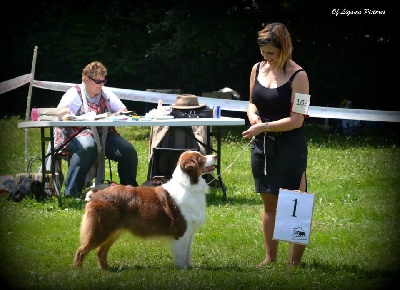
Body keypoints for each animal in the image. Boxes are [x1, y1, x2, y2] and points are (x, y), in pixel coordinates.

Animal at [72, 151, 216, 270]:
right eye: (201, 158)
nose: (215, 156)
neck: (189, 185)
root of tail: (96, 194)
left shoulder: (189, 232)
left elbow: (187, 254)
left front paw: (191, 268)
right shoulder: (181, 231)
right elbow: (181, 255)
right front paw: (182, 271)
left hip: (113, 232)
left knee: (100, 251)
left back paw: (107, 269)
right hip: (100, 230)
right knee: (81, 250)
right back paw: (78, 270)